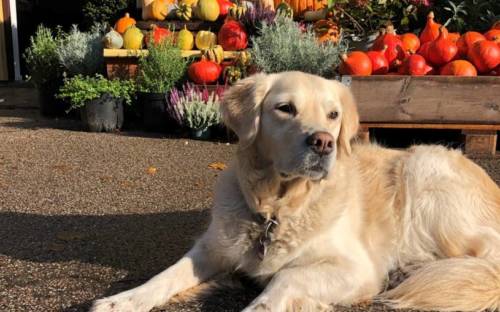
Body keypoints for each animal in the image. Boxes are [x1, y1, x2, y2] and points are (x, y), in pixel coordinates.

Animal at [91, 72, 500, 310]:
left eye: (333, 115)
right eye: (285, 108)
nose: (323, 143)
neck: (275, 208)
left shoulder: (356, 269)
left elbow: (287, 276)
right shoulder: (212, 248)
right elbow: (167, 275)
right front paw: (121, 301)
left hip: (424, 168)